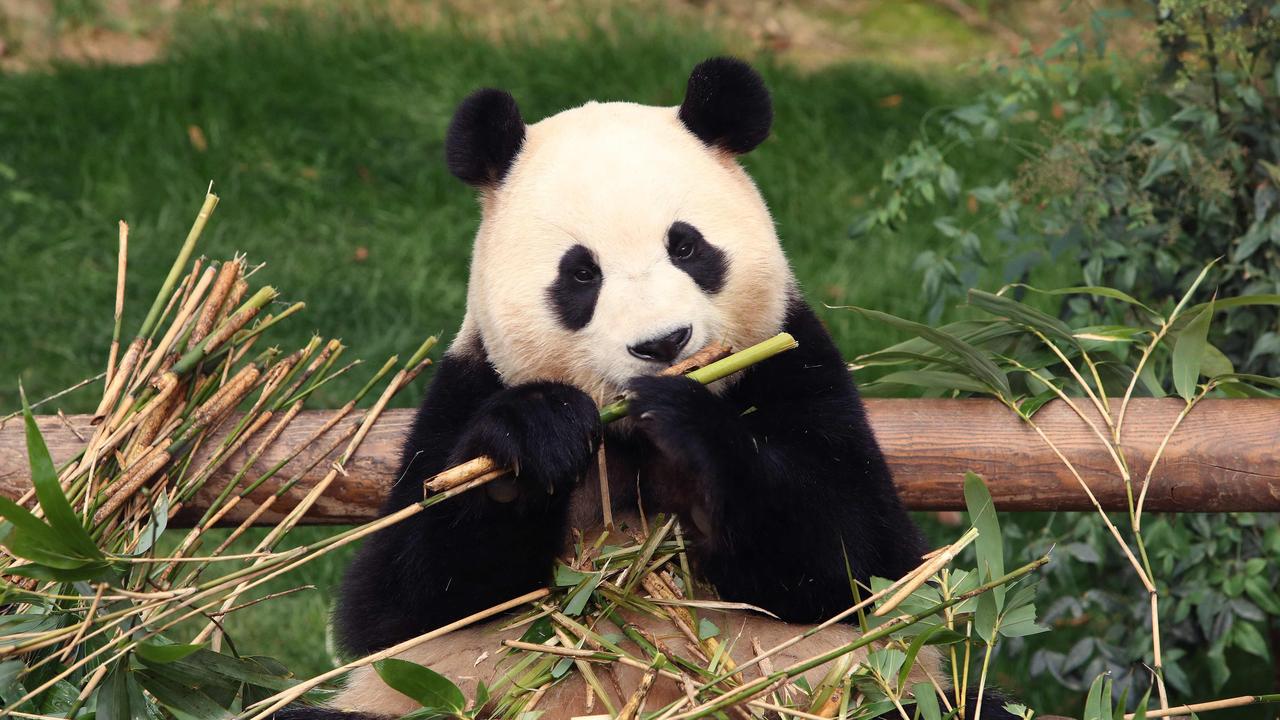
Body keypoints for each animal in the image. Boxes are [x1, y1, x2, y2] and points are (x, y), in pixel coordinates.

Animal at [293, 57, 1008, 717]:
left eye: (686, 247)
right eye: (581, 274)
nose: (663, 343)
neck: (627, 445)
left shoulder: (795, 363)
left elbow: (858, 555)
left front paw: (688, 429)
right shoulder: (466, 386)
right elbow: (401, 603)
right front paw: (533, 437)